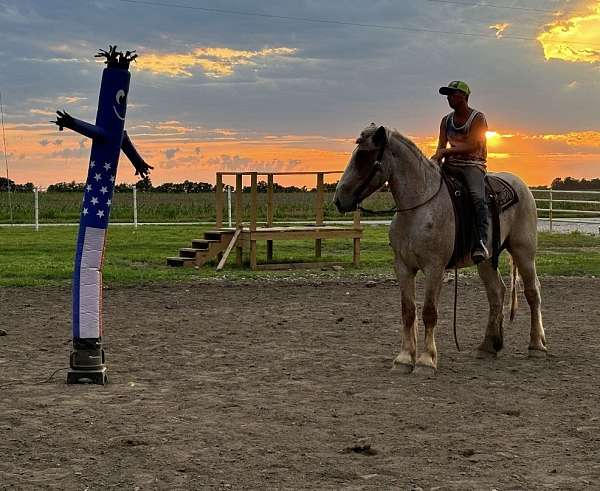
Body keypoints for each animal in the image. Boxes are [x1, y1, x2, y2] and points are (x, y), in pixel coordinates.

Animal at [336, 125, 548, 374]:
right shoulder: (403, 267)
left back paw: (537, 346)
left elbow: (429, 312)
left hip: (524, 252)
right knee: (497, 293)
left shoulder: (434, 267)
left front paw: (426, 360)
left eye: (363, 155)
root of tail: (521, 185)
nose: (339, 199)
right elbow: (408, 311)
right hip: (485, 260)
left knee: (533, 292)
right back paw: (488, 346)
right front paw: (404, 358)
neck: (418, 208)